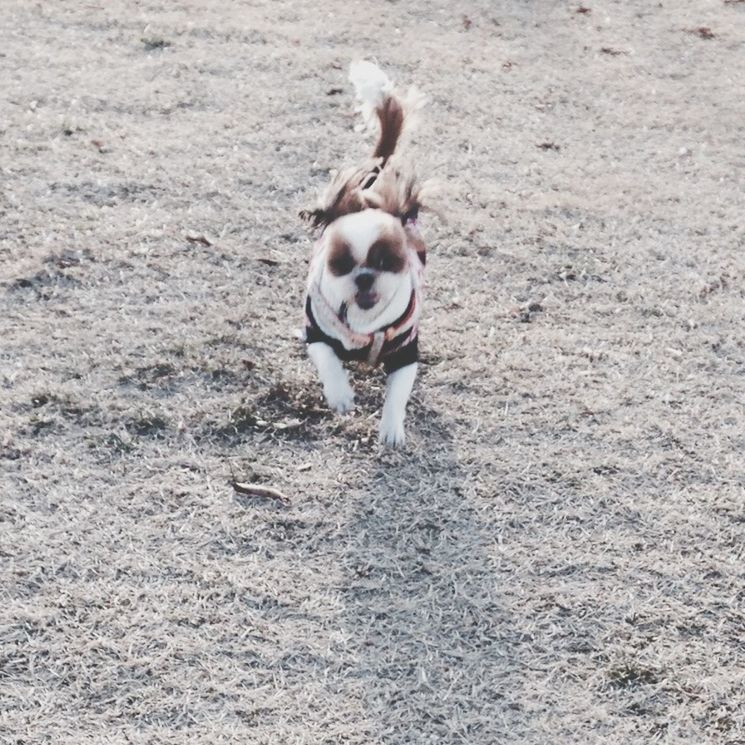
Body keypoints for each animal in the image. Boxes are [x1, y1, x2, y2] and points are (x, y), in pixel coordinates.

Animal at [298, 61, 428, 444]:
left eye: (387, 262)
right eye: (341, 265)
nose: (365, 277)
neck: (364, 325)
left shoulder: (405, 354)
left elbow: (397, 394)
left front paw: (391, 430)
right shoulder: (316, 334)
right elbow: (328, 361)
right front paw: (341, 396)